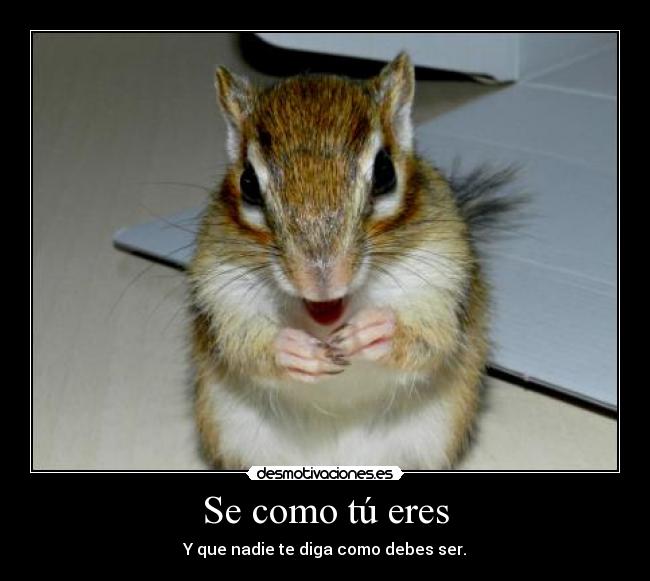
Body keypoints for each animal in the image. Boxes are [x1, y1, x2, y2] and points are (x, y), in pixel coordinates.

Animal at [188, 53, 514, 469]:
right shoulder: (221, 290)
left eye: (386, 171)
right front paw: (292, 349)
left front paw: (373, 330)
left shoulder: (443, 278)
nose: (321, 280)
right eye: (247, 183)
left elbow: (430, 339)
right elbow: (243, 347)